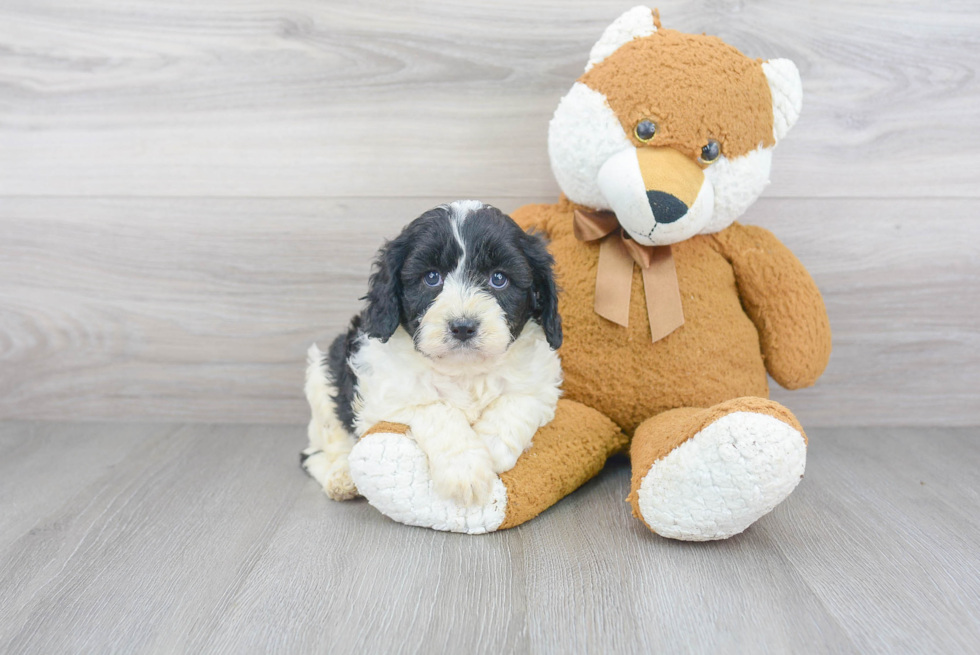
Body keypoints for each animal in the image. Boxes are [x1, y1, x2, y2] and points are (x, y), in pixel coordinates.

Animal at [302, 200, 564, 508]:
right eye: (431, 277)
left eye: (499, 278)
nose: (463, 327)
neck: (464, 370)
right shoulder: (386, 397)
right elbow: (436, 407)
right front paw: (465, 470)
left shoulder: (542, 384)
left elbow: (518, 400)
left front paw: (491, 447)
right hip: (323, 377)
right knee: (317, 451)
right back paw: (341, 475)